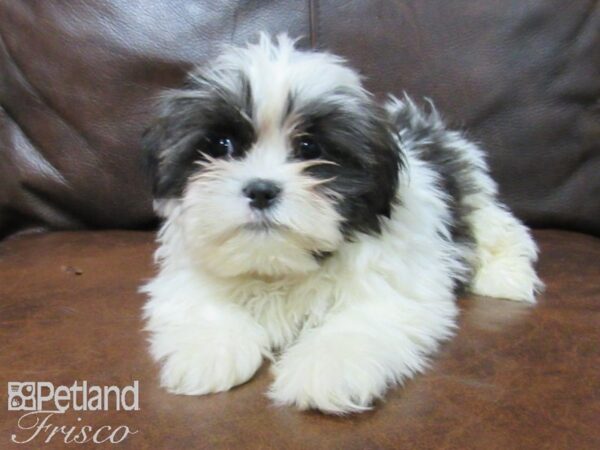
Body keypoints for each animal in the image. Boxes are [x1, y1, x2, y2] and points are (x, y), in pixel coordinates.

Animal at [142, 35, 544, 414]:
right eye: (222, 145)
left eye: (310, 149)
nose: (261, 190)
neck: (280, 268)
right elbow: (202, 302)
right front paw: (207, 350)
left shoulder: (397, 283)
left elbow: (363, 320)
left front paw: (325, 369)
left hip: (476, 197)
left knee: (503, 231)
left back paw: (506, 278)